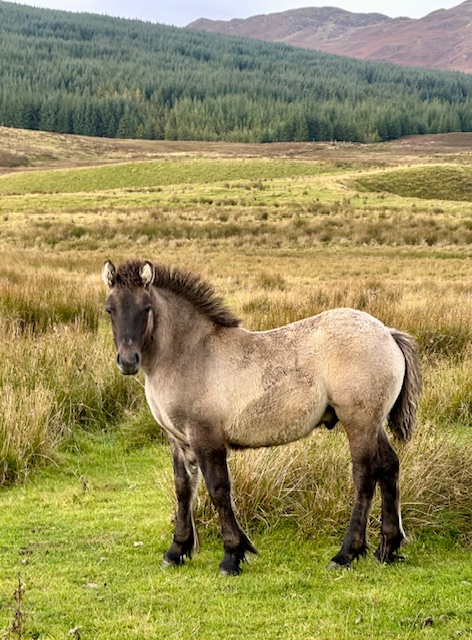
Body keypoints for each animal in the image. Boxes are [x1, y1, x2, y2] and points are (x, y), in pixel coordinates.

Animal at [102, 259, 421, 576]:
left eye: (146, 308)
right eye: (110, 309)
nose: (128, 361)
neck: (191, 353)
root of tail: (387, 333)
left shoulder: (206, 437)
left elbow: (218, 489)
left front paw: (232, 555)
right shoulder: (178, 440)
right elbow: (184, 489)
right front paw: (176, 550)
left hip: (359, 422)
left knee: (365, 476)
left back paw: (346, 553)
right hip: (374, 424)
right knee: (389, 467)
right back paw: (388, 548)